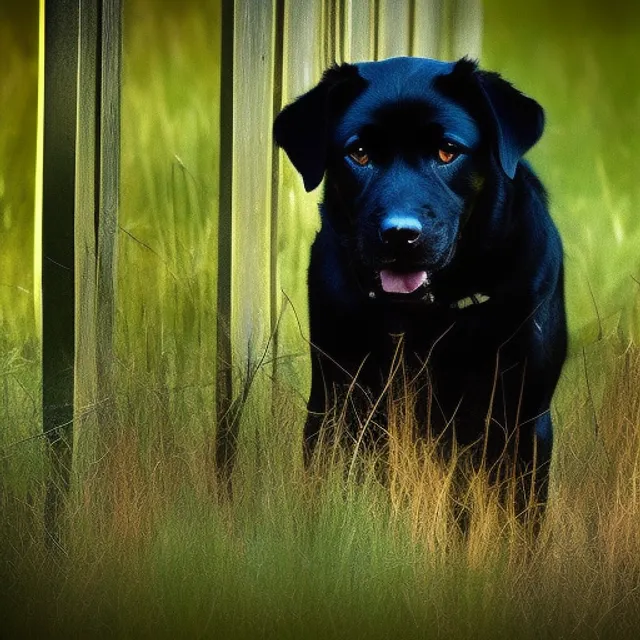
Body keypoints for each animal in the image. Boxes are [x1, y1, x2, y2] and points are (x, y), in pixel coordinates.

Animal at [272, 58, 568, 510]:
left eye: (447, 151)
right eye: (360, 153)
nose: (400, 234)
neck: (431, 315)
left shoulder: (525, 419)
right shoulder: (340, 399)